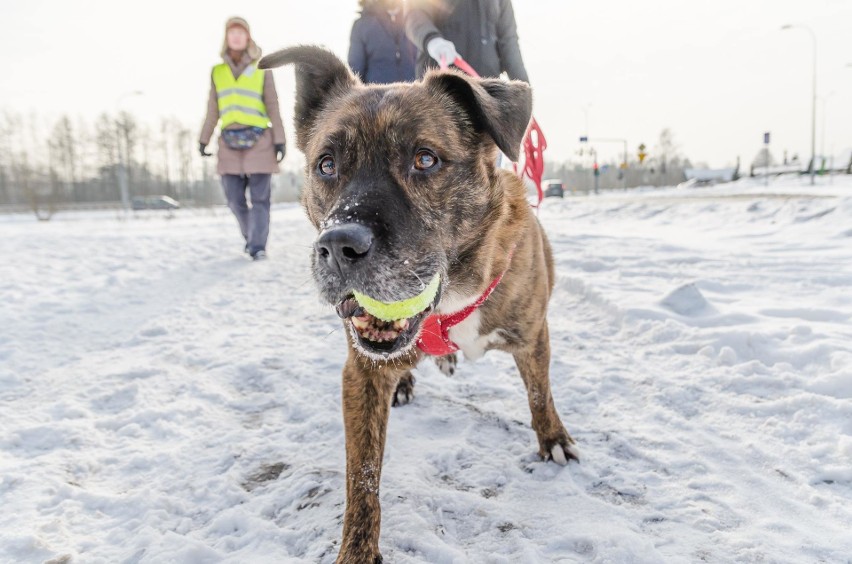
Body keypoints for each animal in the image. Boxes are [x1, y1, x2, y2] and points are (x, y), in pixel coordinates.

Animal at [260, 45, 580, 564]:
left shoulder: (533, 334)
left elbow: (539, 392)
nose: (339, 246)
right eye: (326, 164)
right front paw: (357, 550)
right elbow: (362, 476)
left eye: (425, 159)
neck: (452, 296)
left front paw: (553, 440)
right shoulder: (361, 375)